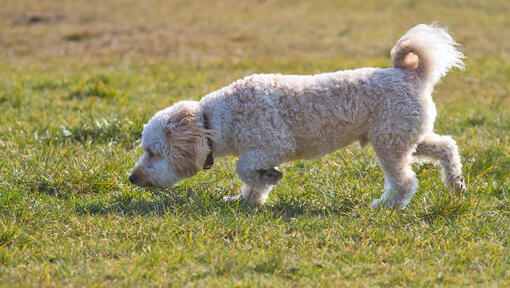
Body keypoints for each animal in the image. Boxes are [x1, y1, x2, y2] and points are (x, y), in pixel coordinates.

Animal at [128, 24, 466, 208]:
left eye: (153, 152)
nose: (132, 178)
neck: (214, 120)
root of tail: (412, 74)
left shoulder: (273, 144)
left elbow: (244, 168)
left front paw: (268, 178)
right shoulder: (261, 151)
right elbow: (252, 182)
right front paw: (247, 200)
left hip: (390, 143)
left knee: (405, 181)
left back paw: (384, 206)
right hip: (404, 136)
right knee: (447, 146)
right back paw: (456, 183)